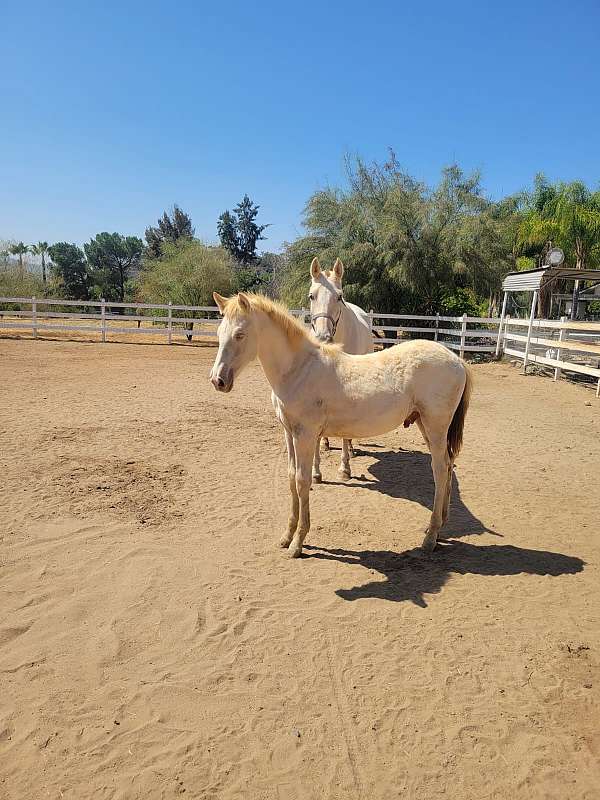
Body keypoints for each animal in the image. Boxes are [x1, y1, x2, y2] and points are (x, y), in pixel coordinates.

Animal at [209, 290, 472, 560]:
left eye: (240, 334)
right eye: (219, 333)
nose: (218, 380)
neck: (299, 369)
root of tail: (457, 360)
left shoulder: (305, 435)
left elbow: (302, 481)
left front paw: (298, 543)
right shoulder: (289, 432)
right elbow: (291, 477)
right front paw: (287, 535)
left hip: (435, 426)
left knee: (439, 470)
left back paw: (430, 537)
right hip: (424, 424)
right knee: (448, 465)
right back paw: (438, 526)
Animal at [308, 256, 372, 482]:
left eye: (339, 297)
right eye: (311, 296)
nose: (323, 338)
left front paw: (345, 468)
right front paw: (315, 472)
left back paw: (351, 449)